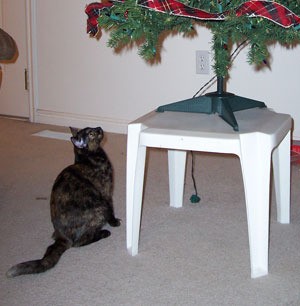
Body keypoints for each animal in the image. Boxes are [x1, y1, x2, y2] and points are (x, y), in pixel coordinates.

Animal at [6, 126, 120, 278]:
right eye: (91, 133)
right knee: (78, 242)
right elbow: (111, 209)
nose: (99, 128)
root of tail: (60, 236)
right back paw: (104, 233)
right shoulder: (106, 192)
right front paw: (114, 222)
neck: (87, 160)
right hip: (98, 209)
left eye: (93, 128)